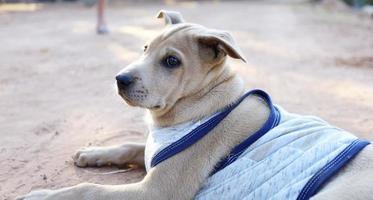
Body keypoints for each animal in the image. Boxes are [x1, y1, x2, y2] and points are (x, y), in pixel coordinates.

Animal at [18, 10, 372, 200]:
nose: (120, 79)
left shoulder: (154, 191)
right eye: (145, 48)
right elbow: (130, 145)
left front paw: (42, 196)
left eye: (172, 61)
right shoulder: (154, 156)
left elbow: (89, 190)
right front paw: (92, 153)